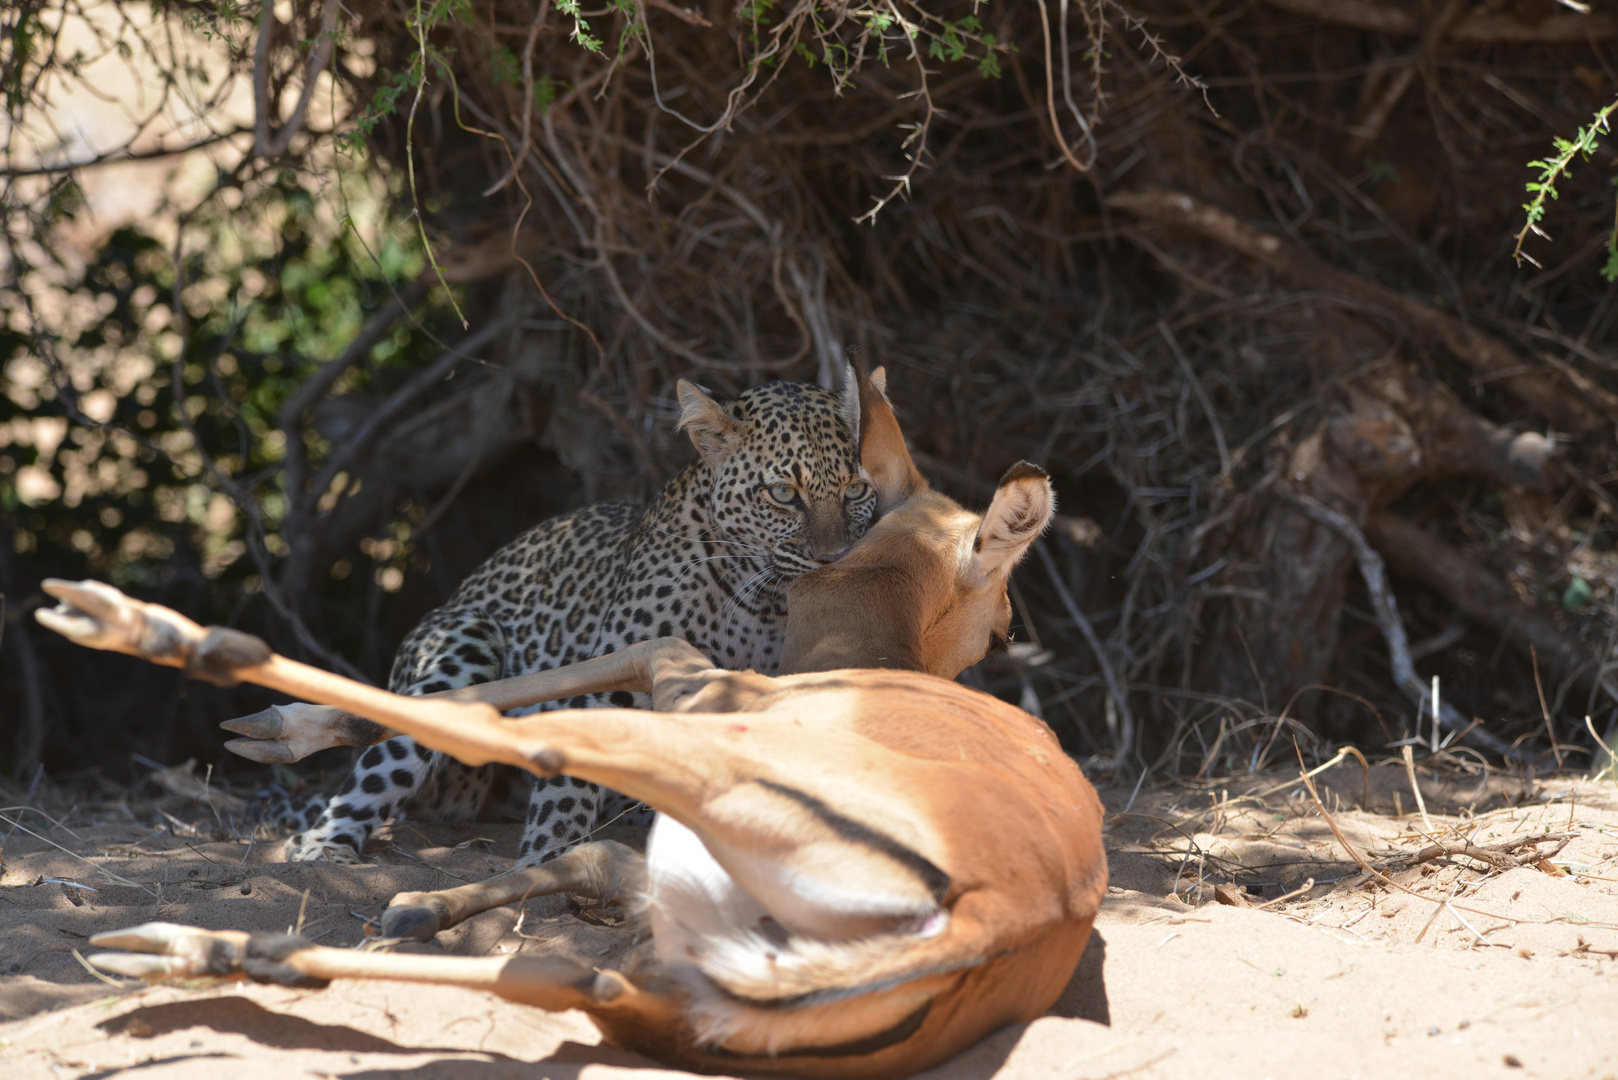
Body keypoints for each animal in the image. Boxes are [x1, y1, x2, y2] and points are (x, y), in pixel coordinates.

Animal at [276, 375, 886, 867]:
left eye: (856, 490)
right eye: (783, 493)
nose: (834, 560)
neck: (765, 603)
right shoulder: (616, 670)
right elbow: (569, 789)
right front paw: (548, 861)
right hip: (462, 648)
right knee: (376, 769)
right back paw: (325, 848)